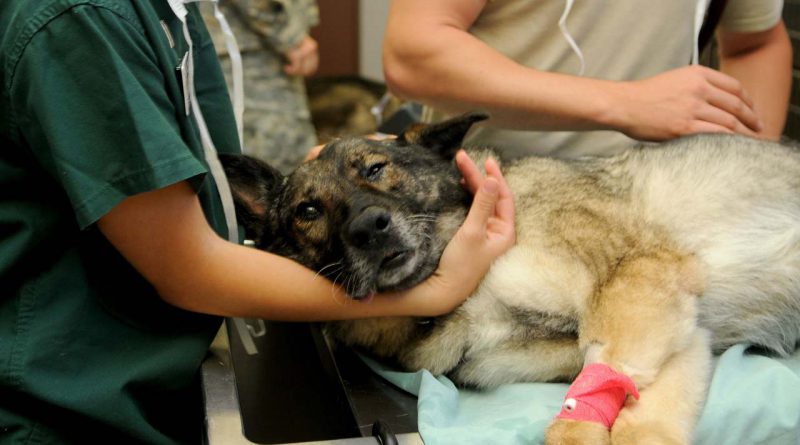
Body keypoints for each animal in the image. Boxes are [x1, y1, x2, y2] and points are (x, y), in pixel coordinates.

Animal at [222, 112, 800, 442]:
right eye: (308, 210)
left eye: (375, 168)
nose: (369, 227)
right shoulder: (676, 331)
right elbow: (633, 408)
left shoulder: (637, 281)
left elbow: (594, 410)